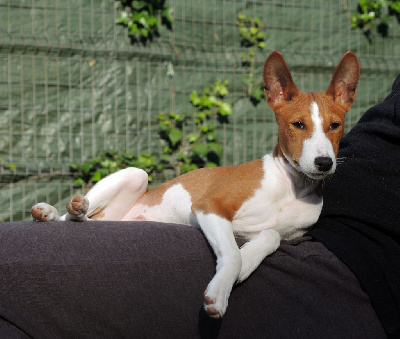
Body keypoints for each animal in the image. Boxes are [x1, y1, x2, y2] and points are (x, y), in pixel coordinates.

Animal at [32, 50, 360, 318]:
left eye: (335, 125)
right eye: (298, 125)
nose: (323, 163)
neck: (290, 187)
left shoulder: (280, 234)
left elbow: (271, 236)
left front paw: (247, 260)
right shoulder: (209, 206)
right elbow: (231, 254)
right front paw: (221, 290)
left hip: (114, 216)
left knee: (89, 220)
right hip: (136, 173)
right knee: (72, 213)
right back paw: (53, 211)